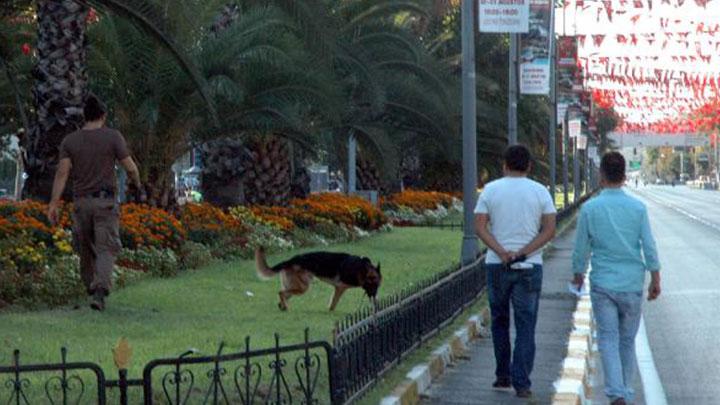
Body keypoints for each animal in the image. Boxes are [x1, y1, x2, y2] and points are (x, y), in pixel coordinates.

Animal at [256, 246, 386, 310]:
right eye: (371, 284)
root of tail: (290, 260)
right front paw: (330, 311)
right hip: (303, 287)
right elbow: (333, 304)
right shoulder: (340, 288)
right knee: (281, 292)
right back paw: (286, 307)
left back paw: (282, 306)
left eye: (378, 286)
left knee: (283, 295)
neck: (360, 268)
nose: (374, 297)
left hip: (296, 286)